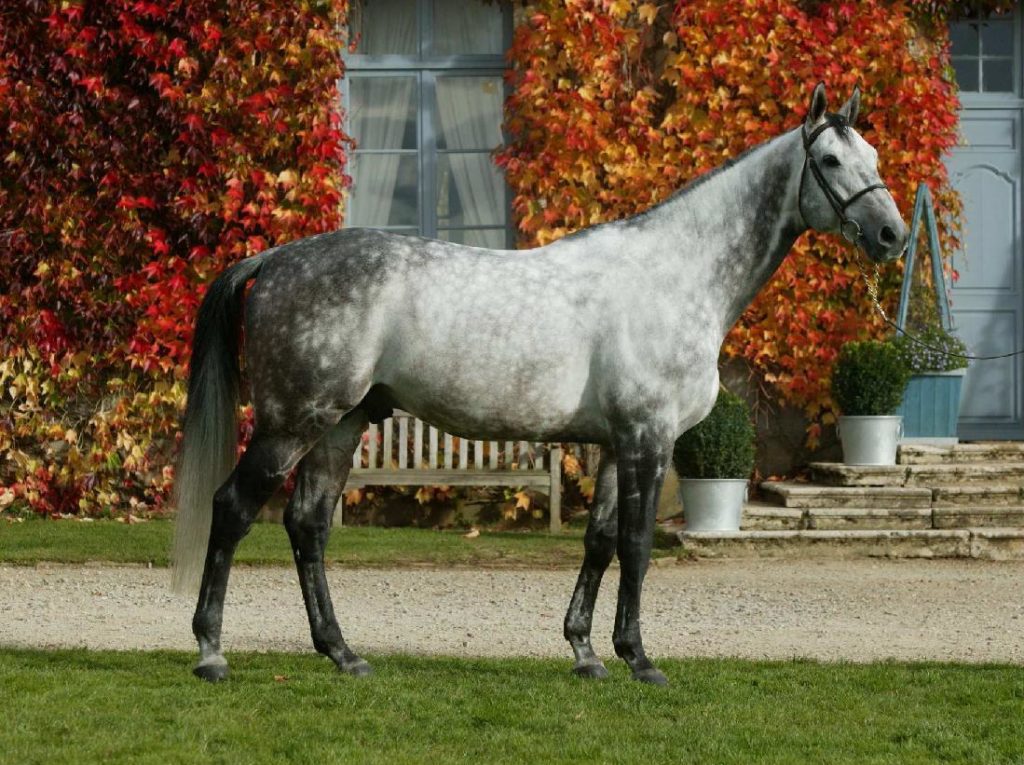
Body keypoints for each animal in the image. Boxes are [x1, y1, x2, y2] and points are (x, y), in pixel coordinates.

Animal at [172, 85, 909, 688]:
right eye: (831, 161)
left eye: (874, 152)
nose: (891, 234)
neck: (674, 274)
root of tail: (274, 257)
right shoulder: (649, 440)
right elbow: (637, 546)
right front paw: (640, 658)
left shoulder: (615, 444)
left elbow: (601, 541)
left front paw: (586, 653)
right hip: (292, 423)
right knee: (233, 509)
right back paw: (211, 652)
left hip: (340, 425)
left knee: (308, 524)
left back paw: (343, 653)